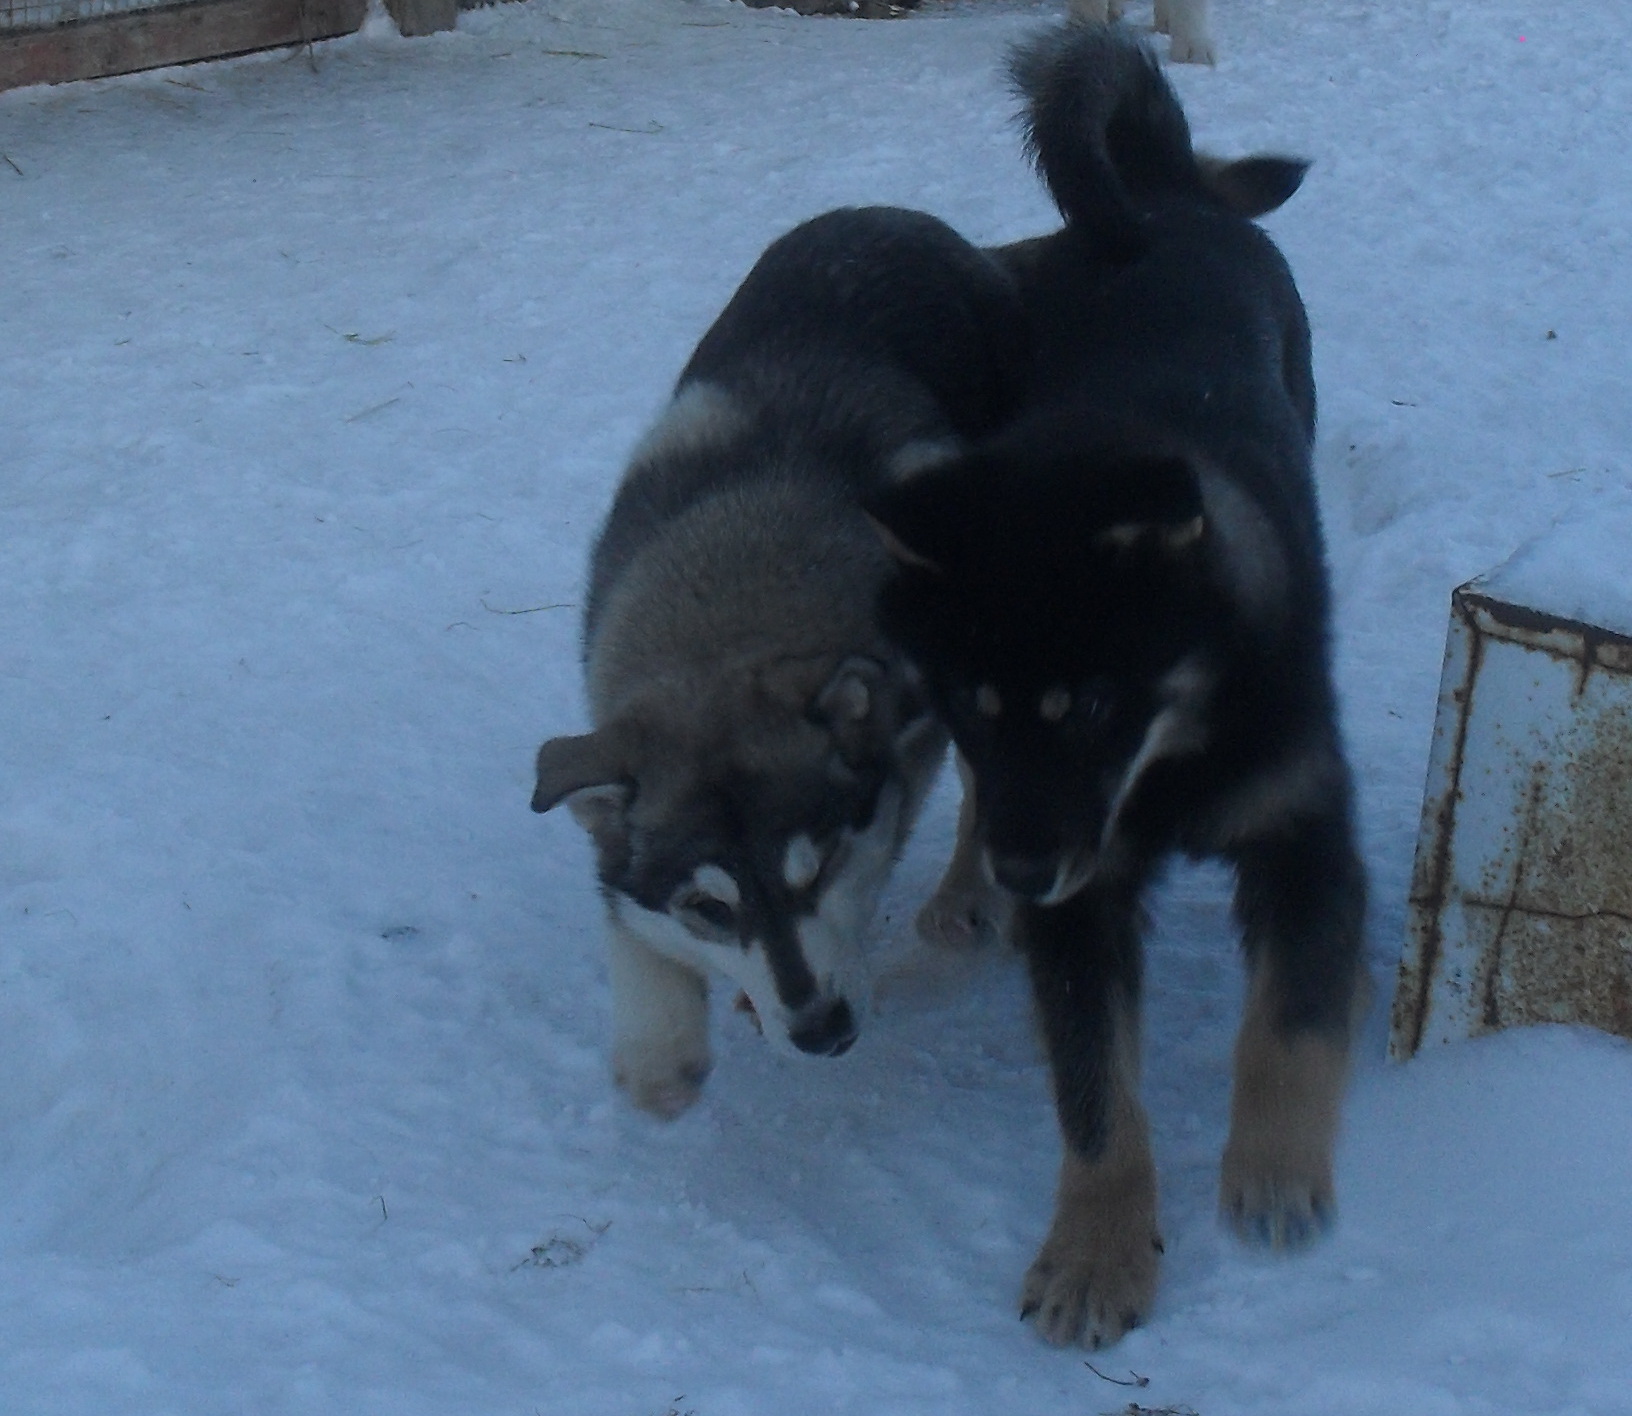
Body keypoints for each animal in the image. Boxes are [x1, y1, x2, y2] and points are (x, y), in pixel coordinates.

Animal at [530, 206, 1024, 1120]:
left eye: (819, 867)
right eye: (708, 908)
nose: (822, 1029)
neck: (724, 612)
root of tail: (891, 214)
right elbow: (626, 912)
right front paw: (660, 1044)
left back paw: (962, 901)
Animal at [865, 23, 1366, 1347]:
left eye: (1091, 704)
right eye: (978, 709)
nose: (1022, 874)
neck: (1175, 756)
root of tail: (1166, 196)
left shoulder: (1306, 833)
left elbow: (1289, 1021)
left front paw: (1275, 1173)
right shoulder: (1078, 900)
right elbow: (1097, 1095)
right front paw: (1097, 1253)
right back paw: (961, 894)